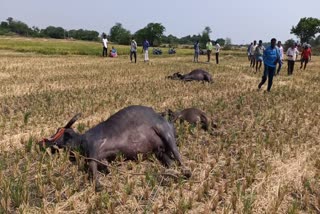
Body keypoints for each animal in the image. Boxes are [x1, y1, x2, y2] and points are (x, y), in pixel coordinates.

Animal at [39, 105, 190, 189]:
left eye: (58, 130)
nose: (41, 143)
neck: (81, 141)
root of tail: (168, 121)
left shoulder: (93, 147)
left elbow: (92, 166)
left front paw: (98, 185)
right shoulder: (101, 157)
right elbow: (103, 167)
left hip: (165, 132)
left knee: (177, 155)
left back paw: (186, 172)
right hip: (159, 151)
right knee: (170, 161)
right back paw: (173, 173)